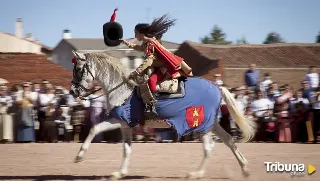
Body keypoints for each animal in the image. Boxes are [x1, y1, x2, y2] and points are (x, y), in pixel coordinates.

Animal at [69, 51, 255, 180]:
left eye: (78, 69)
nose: (73, 91)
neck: (122, 88)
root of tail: (217, 87)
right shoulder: (126, 125)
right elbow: (126, 149)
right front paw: (119, 173)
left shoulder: (120, 119)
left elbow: (94, 129)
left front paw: (79, 156)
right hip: (212, 124)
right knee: (229, 141)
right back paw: (245, 169)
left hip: (201, 124)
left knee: (209, 148)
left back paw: (196, 174)